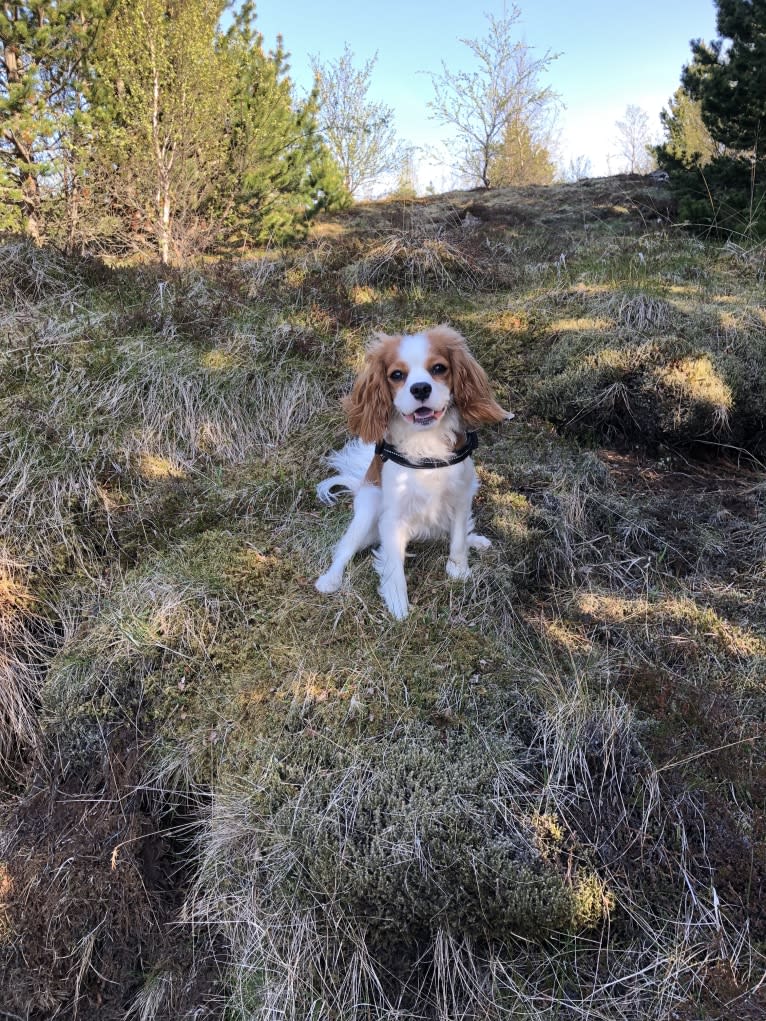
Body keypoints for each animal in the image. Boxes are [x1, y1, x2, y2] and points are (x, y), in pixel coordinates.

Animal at [314, 322, 512, 616]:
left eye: (439, 368)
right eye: (397, 375)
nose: (420, 388)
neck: (425, 443)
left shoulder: (461, 497)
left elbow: (457, 539)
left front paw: (459, 570)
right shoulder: (392, 515)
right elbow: (393, 564)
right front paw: (398, 604)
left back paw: (474, 539)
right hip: (368, 510)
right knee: (345, 548)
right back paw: (330, 579)